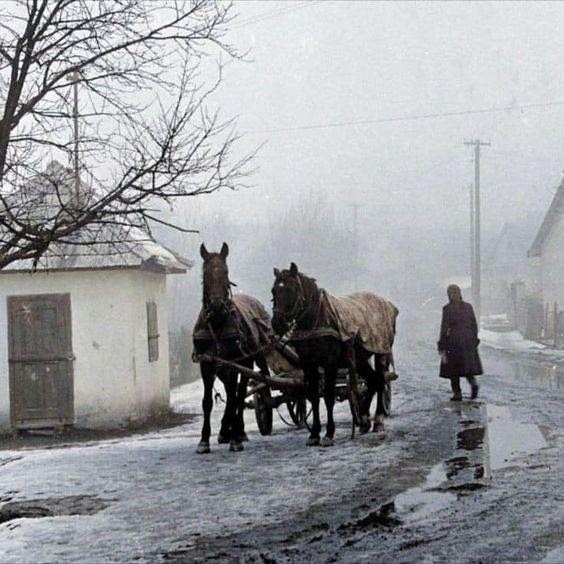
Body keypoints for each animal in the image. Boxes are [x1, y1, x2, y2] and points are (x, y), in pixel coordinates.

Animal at [193, 243, 272, 454]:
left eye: (225, 271)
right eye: (205, 273)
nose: (216, 304)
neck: (217, 322)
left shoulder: (234, 362)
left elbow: (235, 397)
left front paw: (234, 437)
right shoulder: (207, 364)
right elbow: (207, 402)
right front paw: (204, 440)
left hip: (247, 362)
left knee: (239, 392)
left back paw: (238, 432)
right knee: (232, 394)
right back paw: (227, 430)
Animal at [272, 262, 396, 448]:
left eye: (290, 290)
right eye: (274, 291)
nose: (276, 324)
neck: (316, 321)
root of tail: (386, 302)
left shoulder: (330, 363)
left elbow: (329, 396)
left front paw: (329, 434)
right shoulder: (309, 364)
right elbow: (313, 396)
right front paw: (314, 434)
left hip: (382, 351)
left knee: (381, 380)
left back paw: (378, 421)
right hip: (359, 359)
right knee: (373, 381)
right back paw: (363, 419)